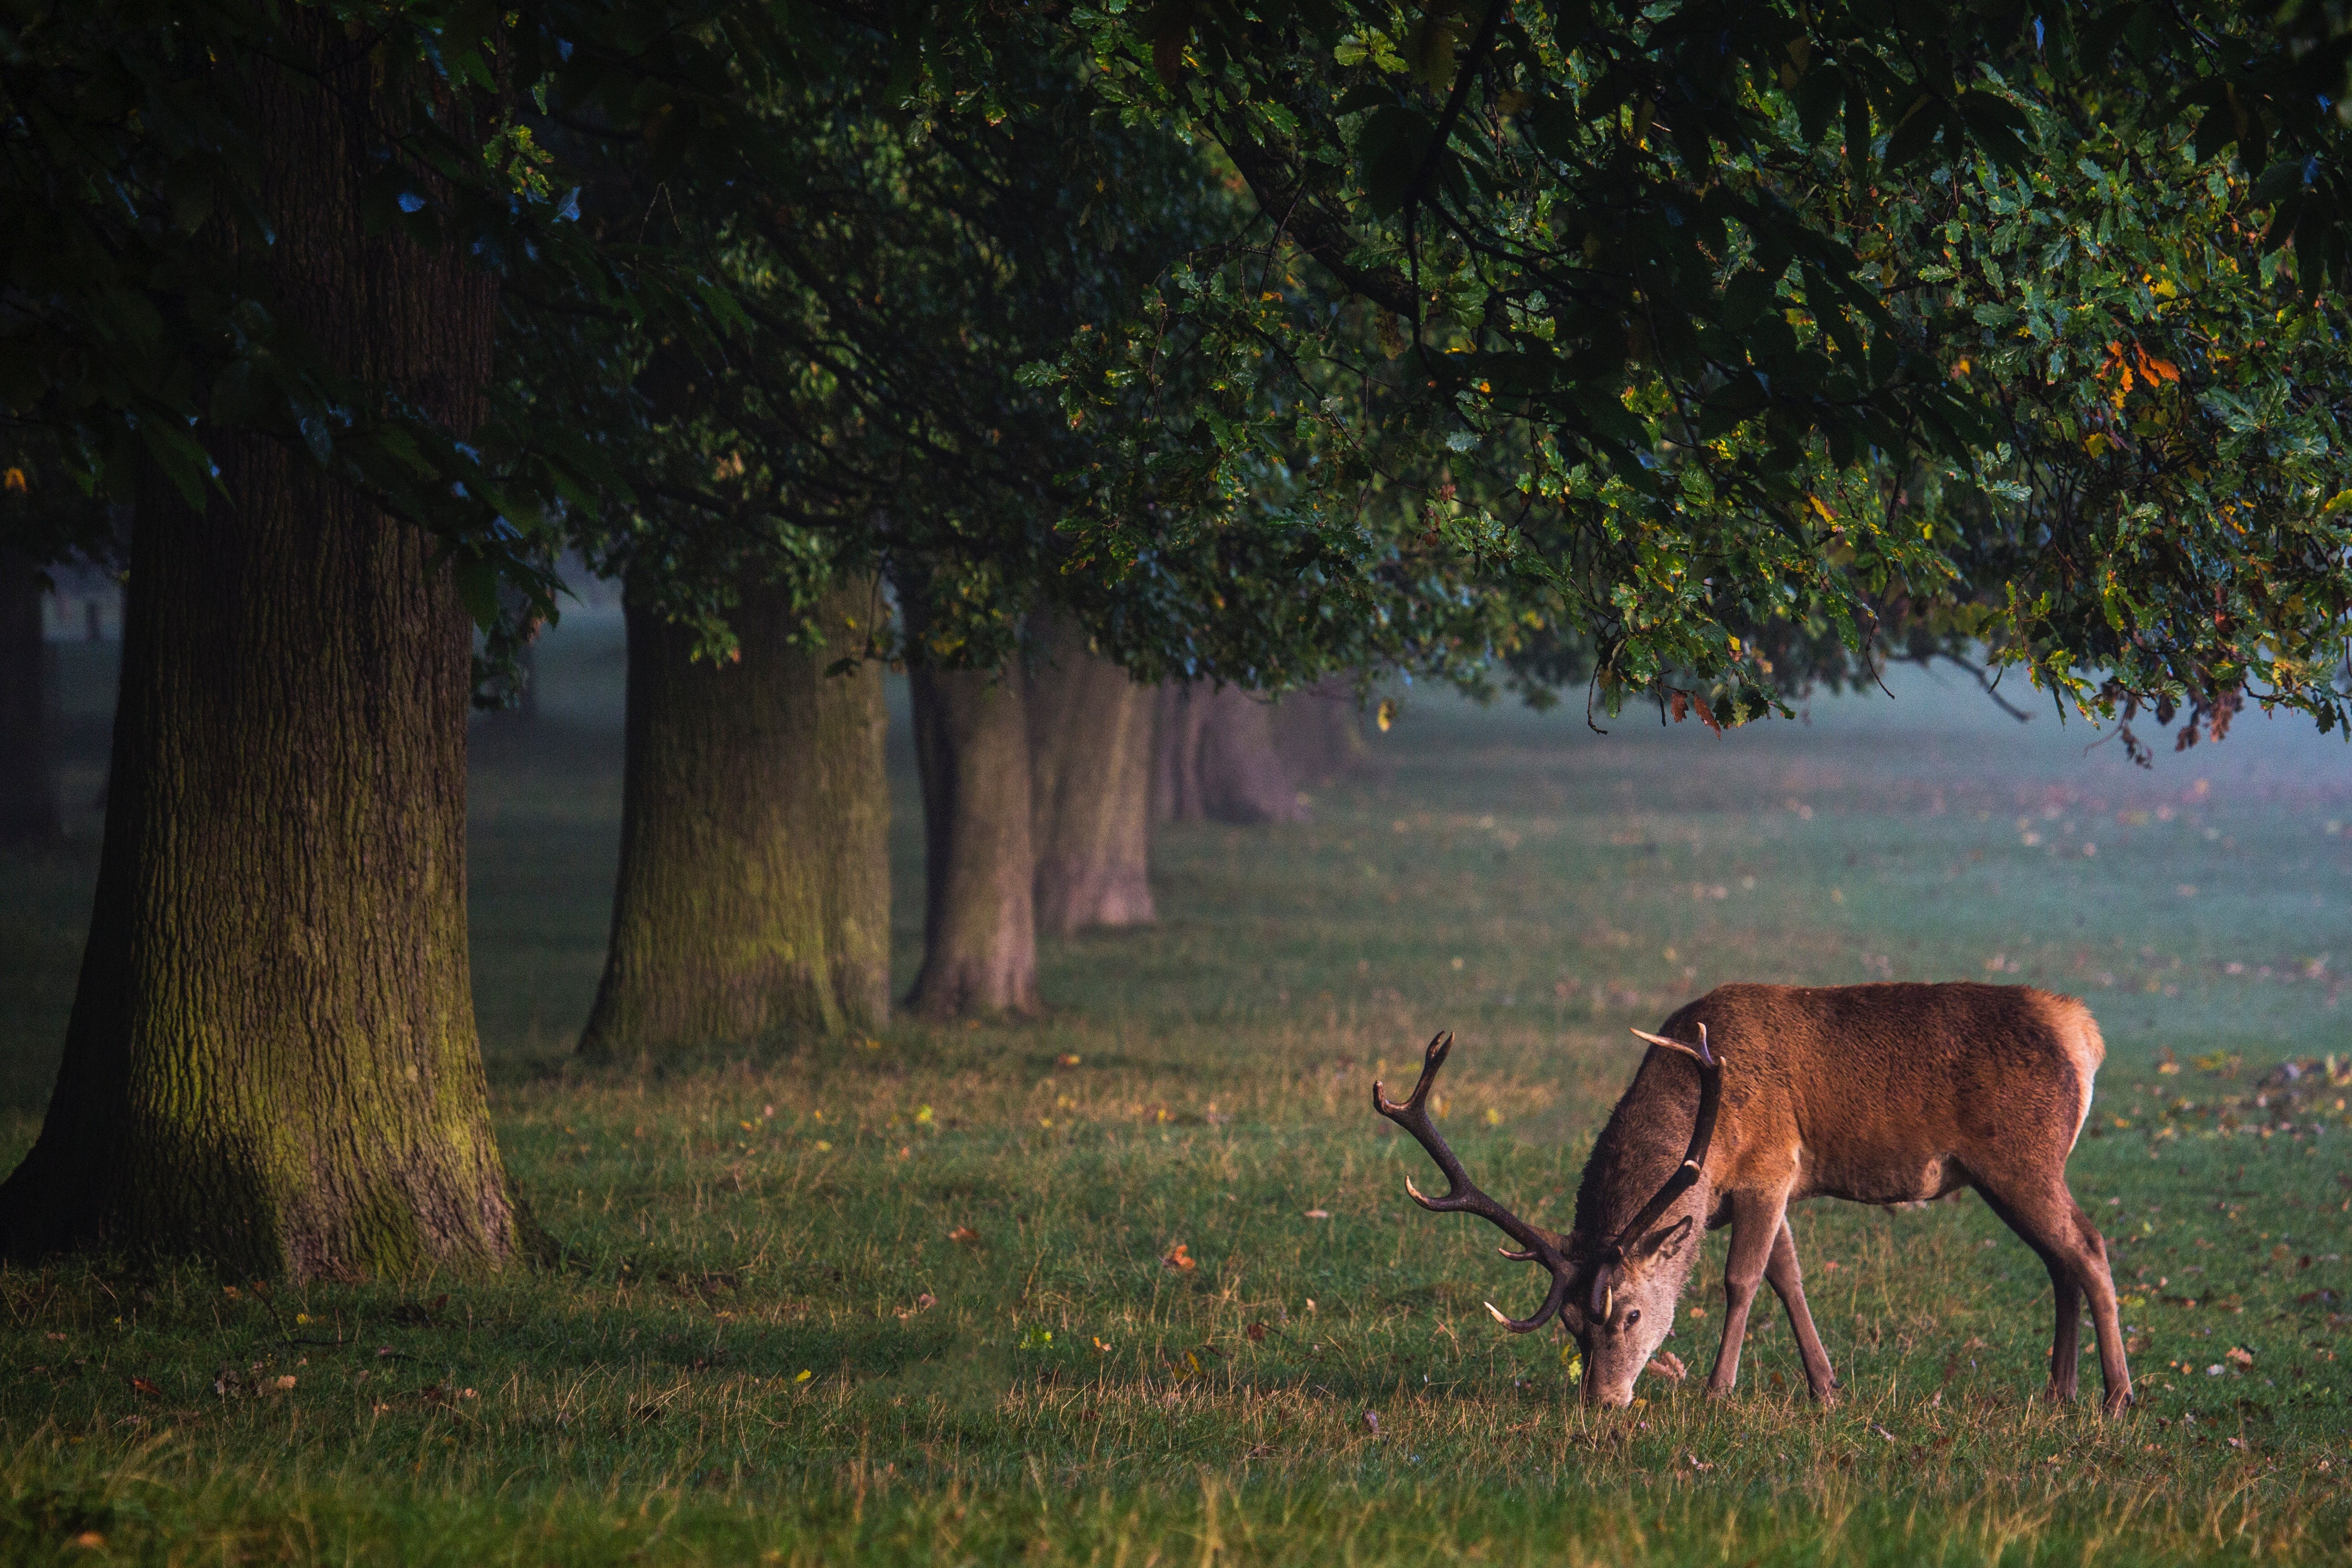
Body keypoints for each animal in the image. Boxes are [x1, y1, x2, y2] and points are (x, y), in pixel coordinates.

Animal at [1373, 987, 2135, 1420]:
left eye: (1630, 1314)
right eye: (1569, 1324)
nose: (1602, 1401)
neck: (1709, 1138)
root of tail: (2084, 1034)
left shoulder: (1770, 1166)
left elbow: (1741, 1280)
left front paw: (1718, 1390)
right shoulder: (1764, 1189)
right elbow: (1787, 1277)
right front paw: (1825, 1389)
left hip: (2022, 1158)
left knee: (2088, 1247)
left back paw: (2116, 1396)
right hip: (2006, 1173)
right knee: (2059, 1262)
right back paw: (2060, 1391)